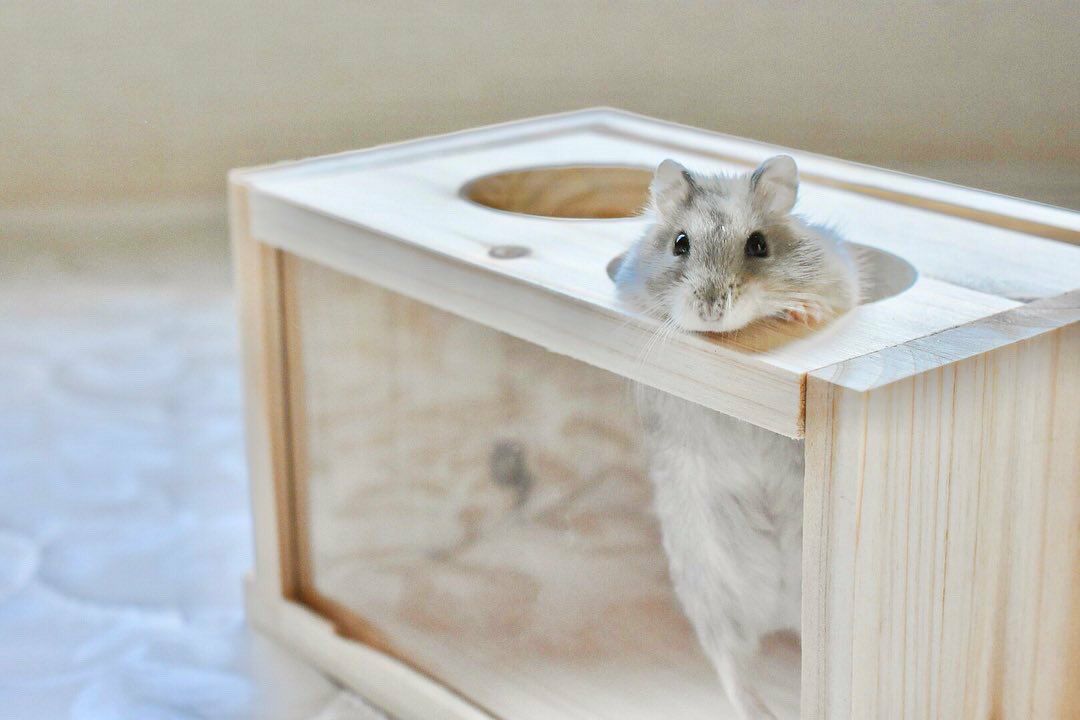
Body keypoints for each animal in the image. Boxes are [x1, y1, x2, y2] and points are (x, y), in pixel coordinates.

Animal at [614, 156, 860, 719]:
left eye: (759, 246)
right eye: (680, 243)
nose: (710, 310)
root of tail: (779, 608)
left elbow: (826, 303)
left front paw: (801, 311)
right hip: (707, 592)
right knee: (732, 667)